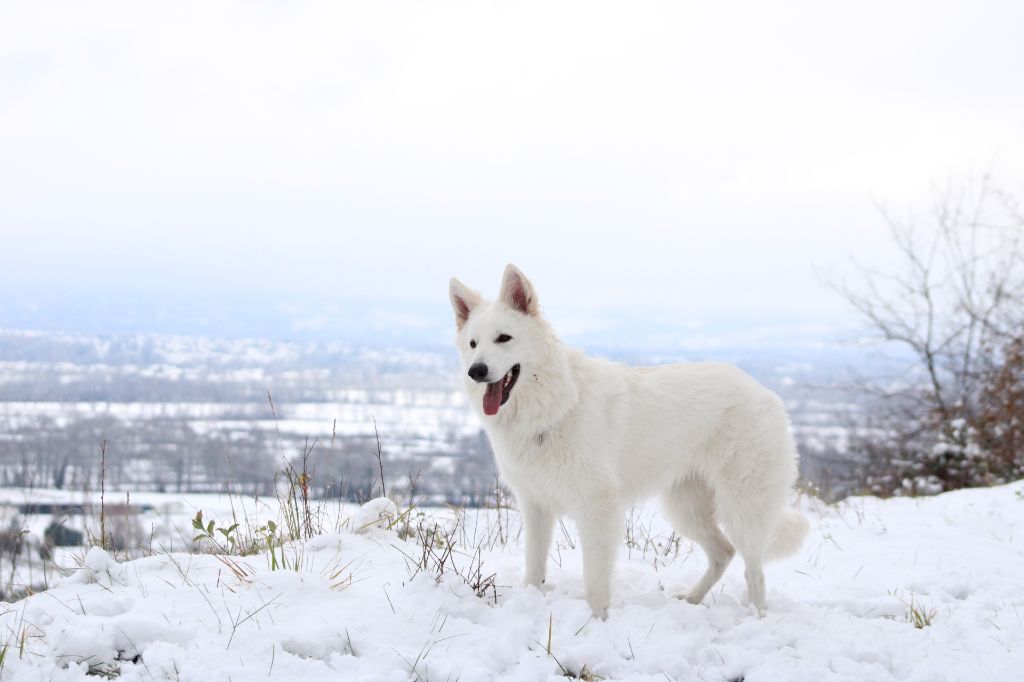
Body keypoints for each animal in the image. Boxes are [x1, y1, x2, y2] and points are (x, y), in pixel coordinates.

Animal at [448, 262, 806, 614]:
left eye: (504, 338)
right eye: (473, 344)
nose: (476, 371)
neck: (555, 407)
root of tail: (765, 392)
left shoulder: (597, 508)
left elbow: (594, 580)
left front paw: (597, 621)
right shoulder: (535, 506)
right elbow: (534, 568)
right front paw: (531, 600)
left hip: (742, 509)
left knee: (754, 571)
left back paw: (756, 617)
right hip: (685, 508)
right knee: (724, 553)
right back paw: (692, 599)